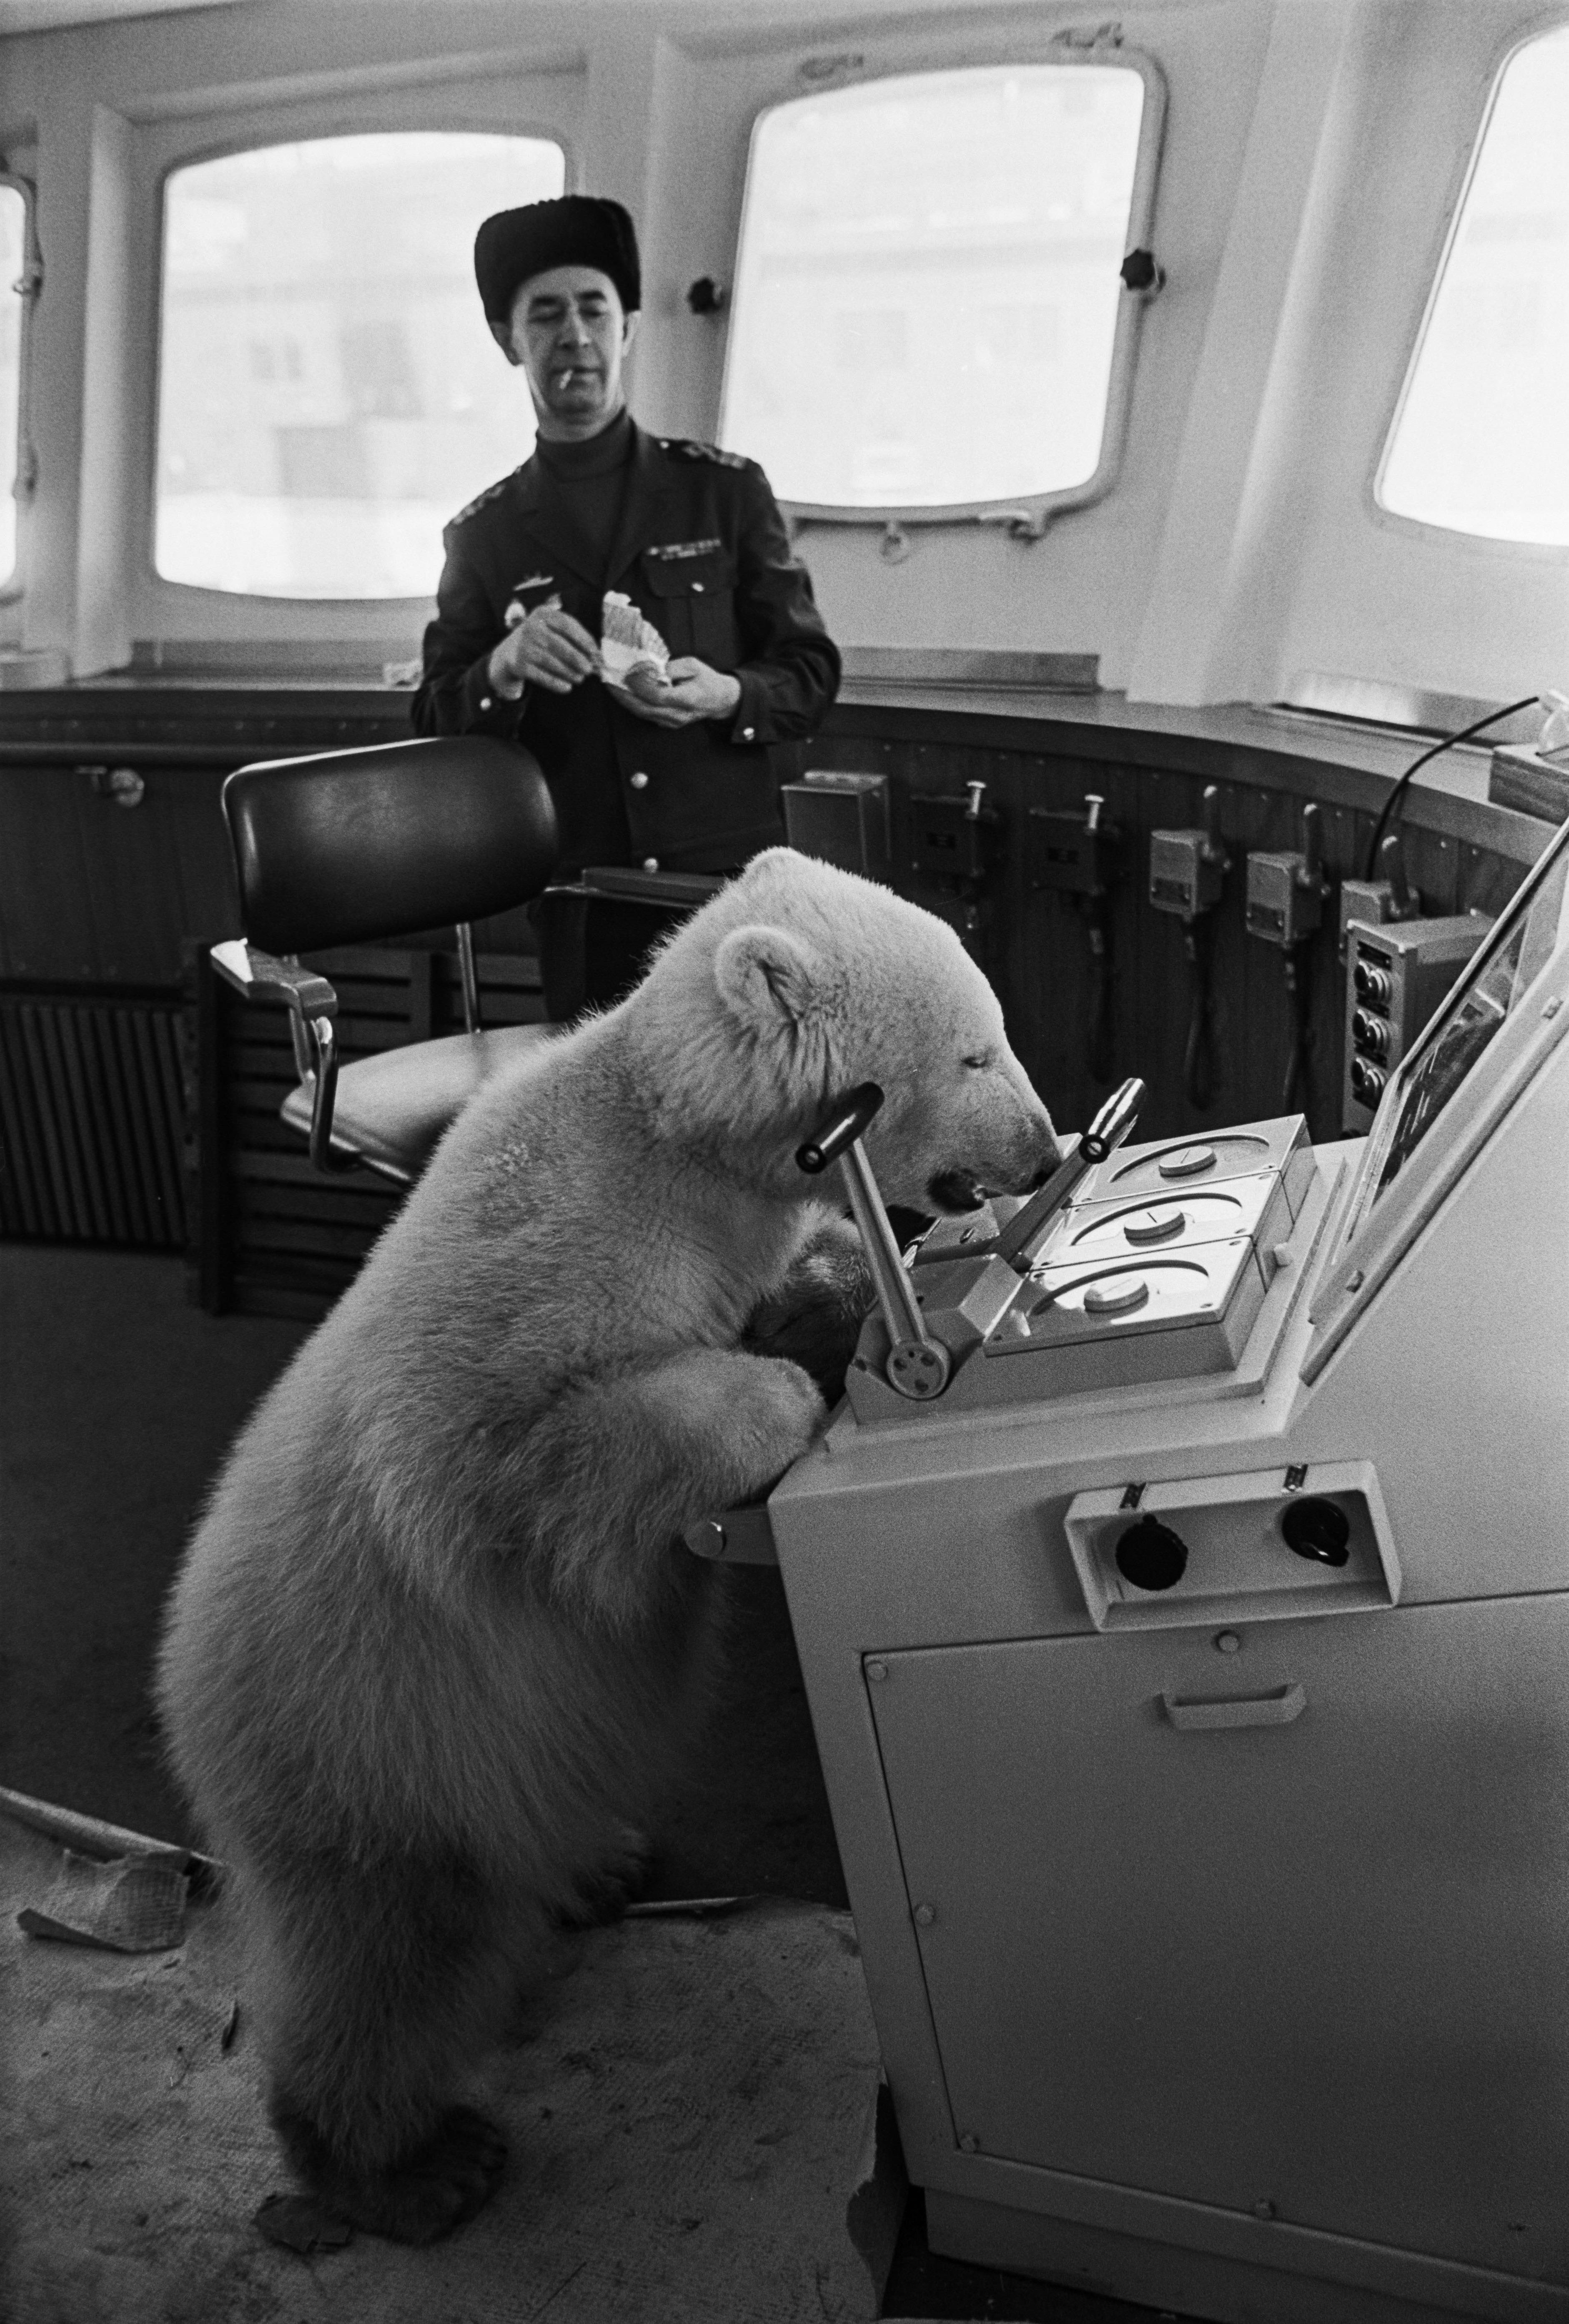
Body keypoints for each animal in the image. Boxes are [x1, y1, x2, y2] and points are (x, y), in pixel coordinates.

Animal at [157, 850, 1055, 2231]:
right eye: (972, 1049)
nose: (1049, 1145)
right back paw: (405, 2164)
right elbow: (509, 1458)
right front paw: (771, 1397)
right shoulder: (541, 1267)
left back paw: (598, 1867)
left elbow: (803, 1276)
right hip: (366, 1744)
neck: (667, 1133)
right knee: (381, 1963)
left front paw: (833, 1302)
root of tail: (180, 1699)